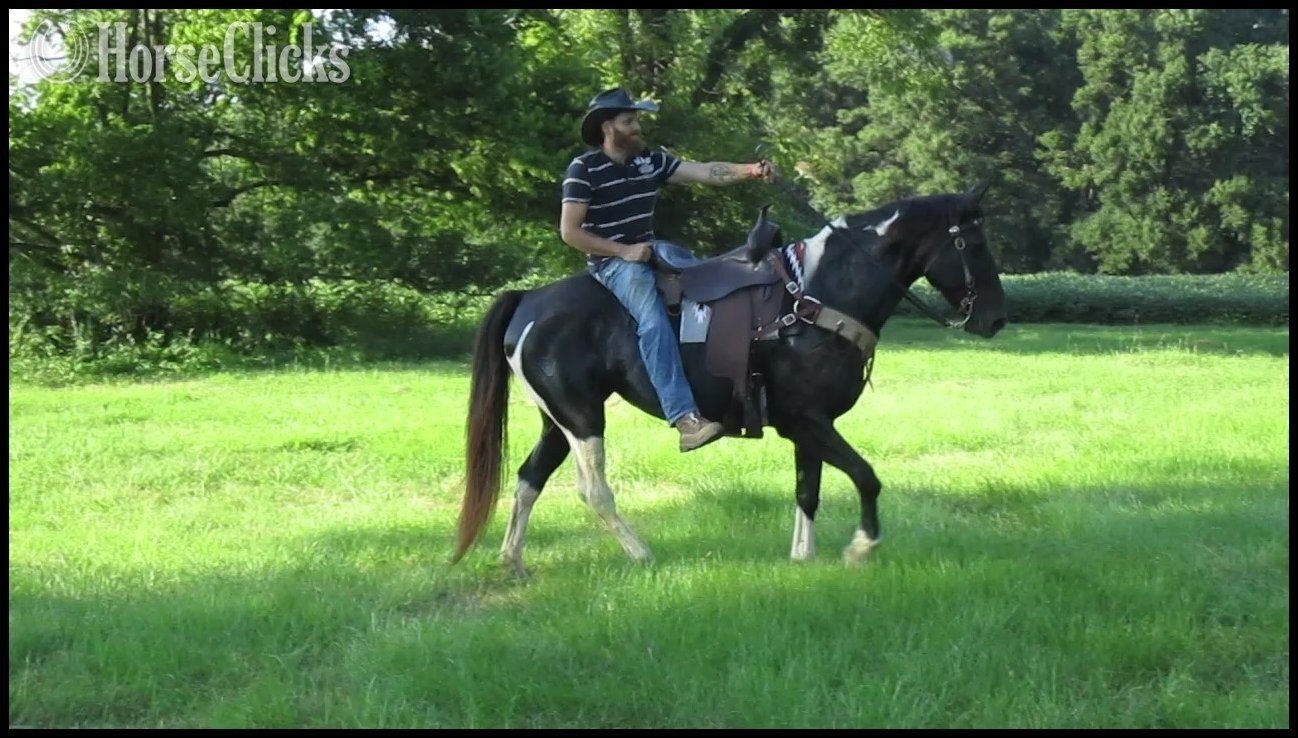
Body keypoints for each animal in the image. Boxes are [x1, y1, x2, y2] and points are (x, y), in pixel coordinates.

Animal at [453, 182, 1007, 575]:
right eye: (974, 241)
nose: (996, 317)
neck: (817, 296)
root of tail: (529, 299)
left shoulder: (811, 426)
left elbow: (808, 491)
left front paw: (803, 557)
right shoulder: (806, 420)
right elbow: (866, 476)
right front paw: (861, 546)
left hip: (558, 421)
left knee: (530, 477)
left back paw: (513, 561)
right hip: (583, 418)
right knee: (593, 490)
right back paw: (641, 553)